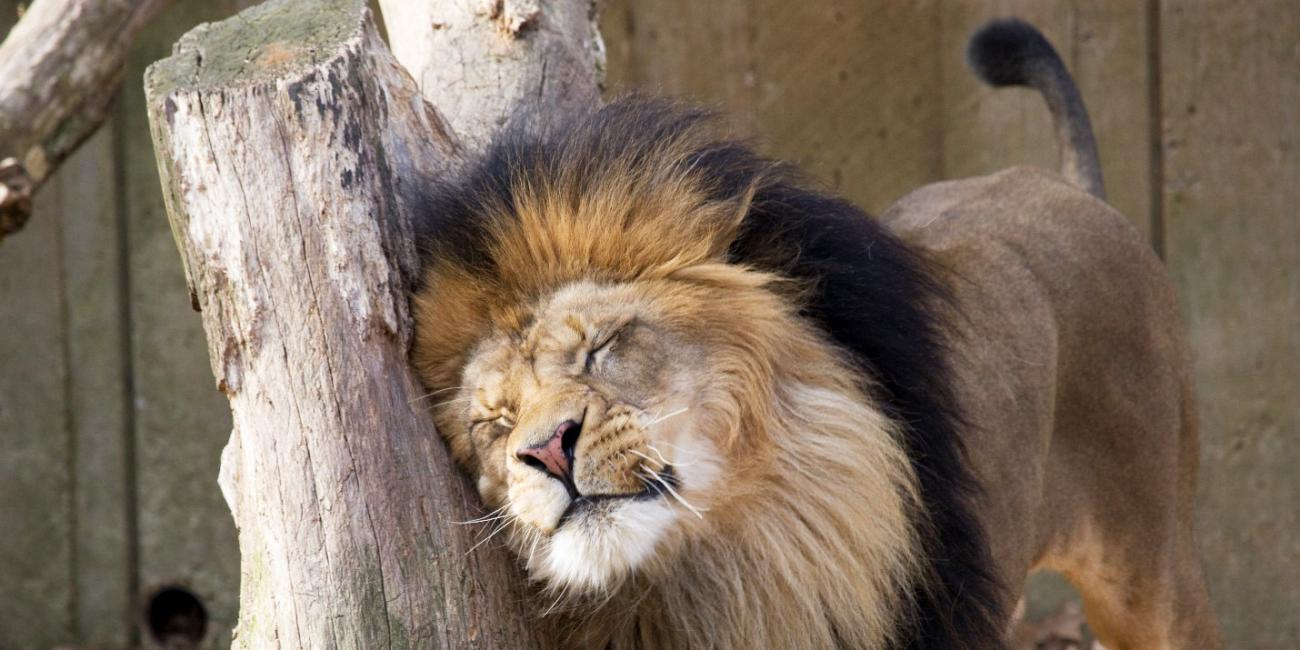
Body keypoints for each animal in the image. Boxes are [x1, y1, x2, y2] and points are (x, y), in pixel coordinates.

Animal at [413, 17, 1216, 647]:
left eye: (601, 347)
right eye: (493, 422)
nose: (548, 449)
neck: (723, 573)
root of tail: (1070, 190)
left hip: (1154, 579)